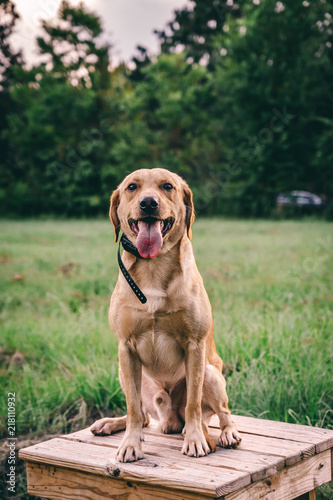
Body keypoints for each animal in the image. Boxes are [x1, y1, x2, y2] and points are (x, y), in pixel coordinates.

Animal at [91, 167, 240, 460]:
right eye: (132, 187)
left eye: (168, 186)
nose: (148, 203)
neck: (154, 265)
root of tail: (169, 420)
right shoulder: (125, 348)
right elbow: (133, 408)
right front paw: (130, 444)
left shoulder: (195, 346)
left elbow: (193, 404)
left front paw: (195, 439)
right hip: (124, 372)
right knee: (143, 415)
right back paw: (111, 424)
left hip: (211, 373)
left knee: (222, 412)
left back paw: (226, 432)